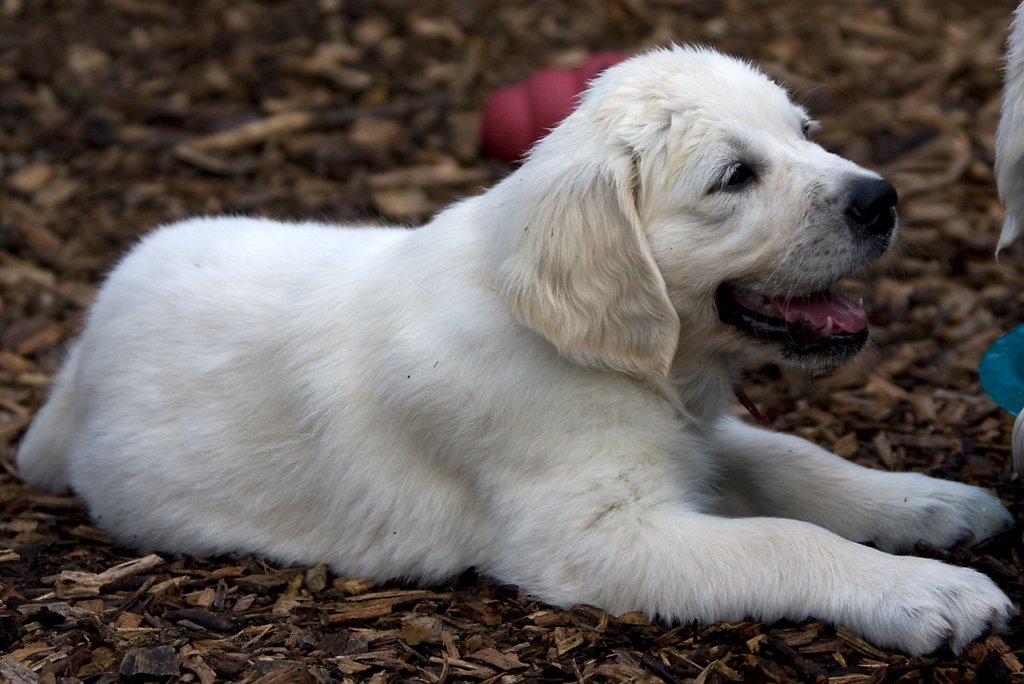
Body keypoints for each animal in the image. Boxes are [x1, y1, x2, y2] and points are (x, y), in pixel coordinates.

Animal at [16, 45, 1015, 655]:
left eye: (804, 134)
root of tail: (72, 365)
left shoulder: (694, 433)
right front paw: (927, 592)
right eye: (734, 177)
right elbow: (784, 540)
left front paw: (929, 504)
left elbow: (797, 463)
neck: (620, 360)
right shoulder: (592, 536)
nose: (882, 198)